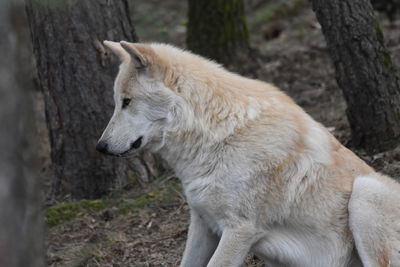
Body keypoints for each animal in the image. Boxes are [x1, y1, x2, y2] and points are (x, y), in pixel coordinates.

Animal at [97, 40, 400, 267]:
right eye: (117, 102)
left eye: (127, 102)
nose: (100, 147)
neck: (217, 135)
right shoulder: (202, 223)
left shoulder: (239, 231)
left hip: (365, 192)